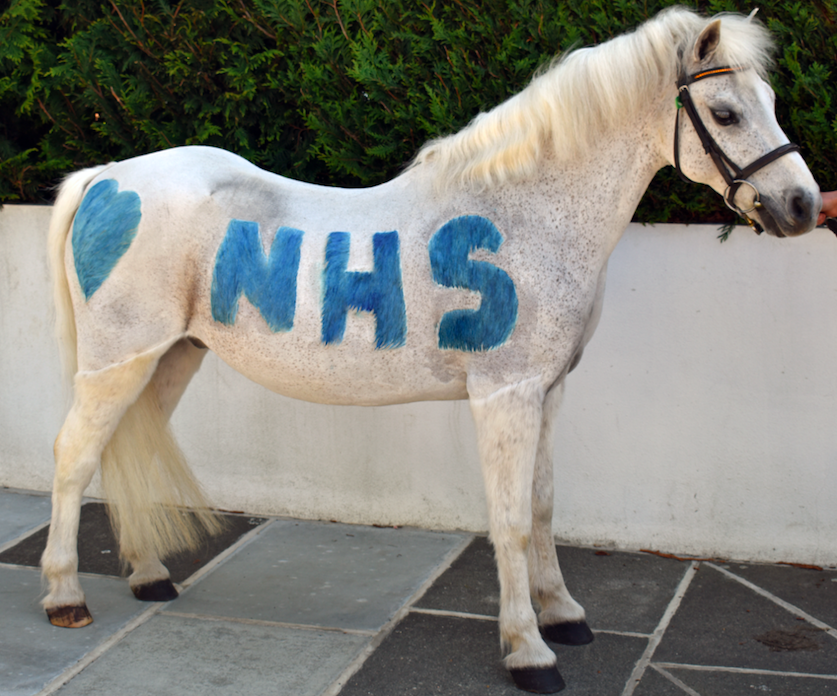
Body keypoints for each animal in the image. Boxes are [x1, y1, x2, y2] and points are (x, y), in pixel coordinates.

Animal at [40, 8, 816, 692]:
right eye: (725, 113)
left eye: (771, 101)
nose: (804, 206)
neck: (523, 217)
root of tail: (105, 175)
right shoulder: (504, 394)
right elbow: (508, 520)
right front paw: (528, 652)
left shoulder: (548, 389)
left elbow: (542, 506)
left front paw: (564, 616)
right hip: (117, 359)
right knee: (74, 456)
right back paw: (64, 597)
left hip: (171, 355)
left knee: (122, 446)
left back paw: (148, 576)